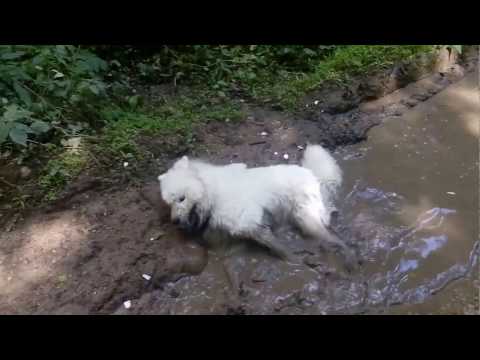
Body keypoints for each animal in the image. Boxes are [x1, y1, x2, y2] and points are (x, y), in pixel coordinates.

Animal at [158, 143, 352, 264]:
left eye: (181, 198)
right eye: (169, 203)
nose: (174, 221)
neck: (211, 191)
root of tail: (312, 175)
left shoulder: (250, 223)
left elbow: (278, 247)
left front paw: (292, 260)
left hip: (306, 217)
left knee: (327, 228)